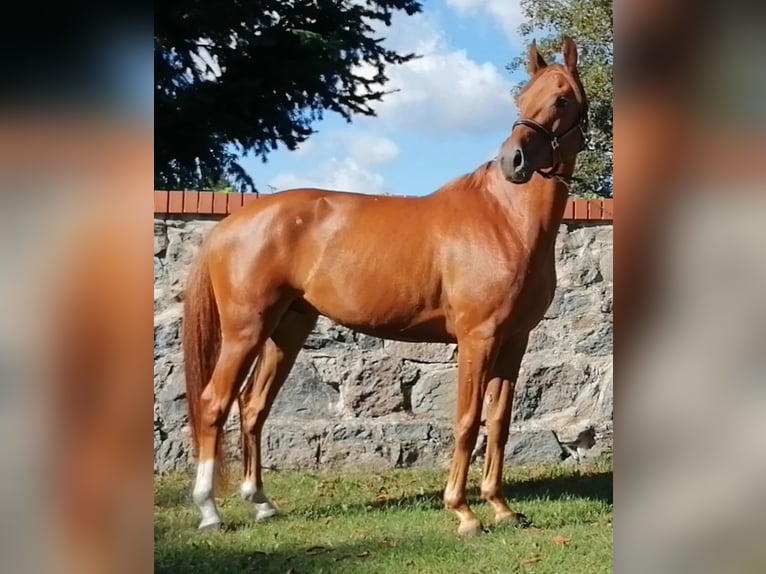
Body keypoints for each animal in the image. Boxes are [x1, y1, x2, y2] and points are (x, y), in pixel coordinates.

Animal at [182, 36, 589, 537]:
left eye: (561, 98)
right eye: (522, 99)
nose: (513, 161)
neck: (506, 218)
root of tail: (229, 224)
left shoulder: (514, 341)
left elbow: (499, 422)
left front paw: (501, 507)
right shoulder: (478, 338)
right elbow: (467, 420)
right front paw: (463, 512)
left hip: (286, 330)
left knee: (253, 407)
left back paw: (261, 503)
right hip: (245, 330)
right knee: (214, 403)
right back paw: (209, 511)